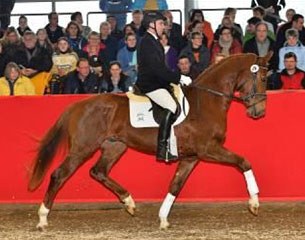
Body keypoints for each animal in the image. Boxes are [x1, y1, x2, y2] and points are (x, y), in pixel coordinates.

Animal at [27, 52, 270, 229]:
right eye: (262, 78)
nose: (259, 112)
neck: (206, 101)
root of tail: (78, 105)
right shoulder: (208, 148)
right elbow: (244, 162)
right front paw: (254, 202)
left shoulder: (191, 157)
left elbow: (176, 185)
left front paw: (163, 218)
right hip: (82, 148)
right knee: (59, 174)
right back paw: (42, 218)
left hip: (115, 147)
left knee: (98, 171)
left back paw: (129, 202)